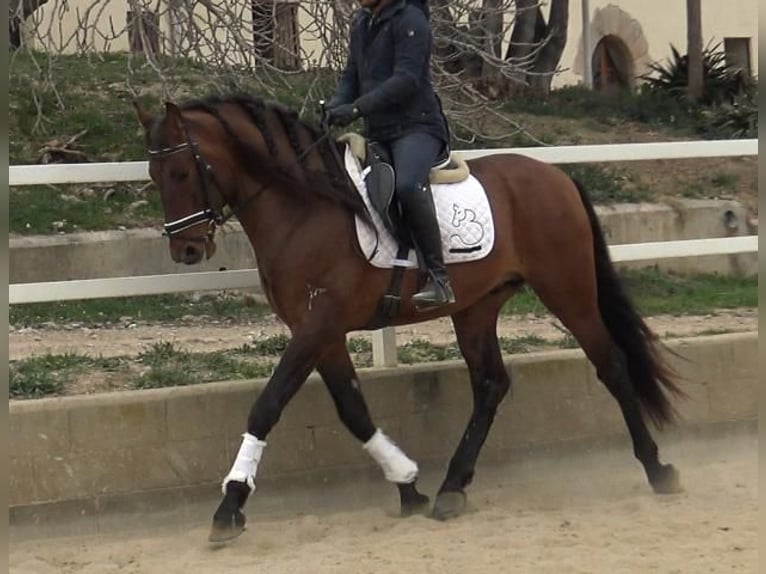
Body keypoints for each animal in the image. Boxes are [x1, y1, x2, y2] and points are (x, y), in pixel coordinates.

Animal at [132, 94, 684, 544]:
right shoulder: (321, 333)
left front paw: (229, 507)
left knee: (611, 364)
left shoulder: (317, 325)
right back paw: (451, 489)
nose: (185, 249)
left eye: (181, 173)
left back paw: (658, 470)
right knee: (491, 385)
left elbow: (267, 406)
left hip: (567, 290)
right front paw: (408, 486)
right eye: (155, 177)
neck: (304, 209)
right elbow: (353, 411)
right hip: (477, 307)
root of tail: (557, 176)